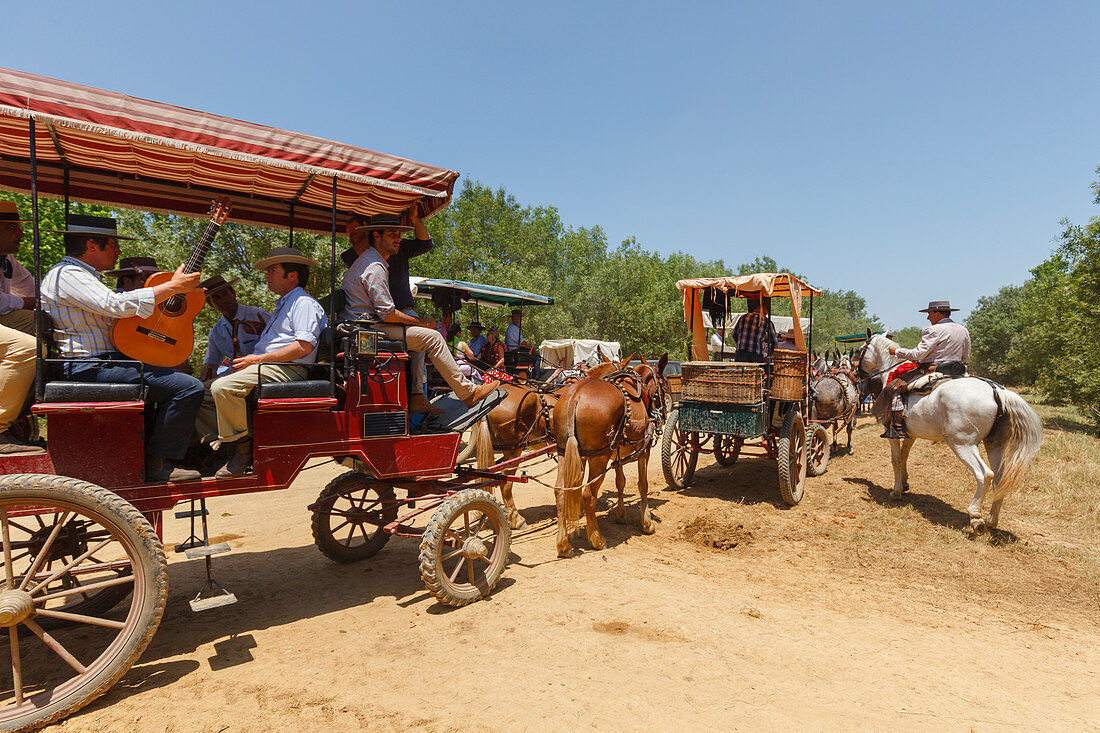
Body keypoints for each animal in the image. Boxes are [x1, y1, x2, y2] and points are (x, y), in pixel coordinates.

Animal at [554, 354, 664, 554]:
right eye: (663, 382)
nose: (663, 407)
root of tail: (575, 397)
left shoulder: (614, 454)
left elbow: (620, 482)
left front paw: (621, 514)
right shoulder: (644, 450)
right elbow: (642, 484)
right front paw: (647, 522)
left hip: (564, 453)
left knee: (561, 492)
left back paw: (563, 544)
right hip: (599, 458)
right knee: (588, 495)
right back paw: (596, 539)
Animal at [853, 332, 1042, 530]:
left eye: (861, 350)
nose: (857, 373)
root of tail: (996, 391)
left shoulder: (892, 434)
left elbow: (896, 460)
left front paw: (896, 491)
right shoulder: (910, 434)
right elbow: (905, 456)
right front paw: (904, 484)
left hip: (962, 444)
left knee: (985, 474)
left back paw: (975, 516)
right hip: (994, 445)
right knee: (999, 478)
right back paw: (992, 519)